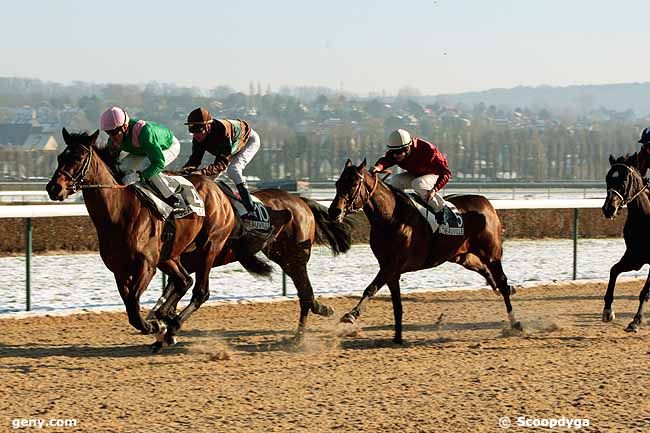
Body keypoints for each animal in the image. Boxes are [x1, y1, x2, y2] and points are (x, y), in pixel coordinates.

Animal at [326, 159, 520, 344]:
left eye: (353, 184)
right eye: (337, 183)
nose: (334, 211)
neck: (391, 217)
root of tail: (486, 203)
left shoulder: (391, 266)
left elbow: (370, 289)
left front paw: (351, 315)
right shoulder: (391, 270)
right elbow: (397, 305)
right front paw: (397, 338)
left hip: (491, 254)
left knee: (502, 281)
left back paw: (515, 322)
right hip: (461, 256)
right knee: (485, 271)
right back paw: (500, 289)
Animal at [596, 154, 648, 332]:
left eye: (624, 180)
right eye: (607, 178)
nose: (608, 209)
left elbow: (644, 292)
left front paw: (635, 321)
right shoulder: (635, 257)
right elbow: (614, 270)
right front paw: (607, 311)